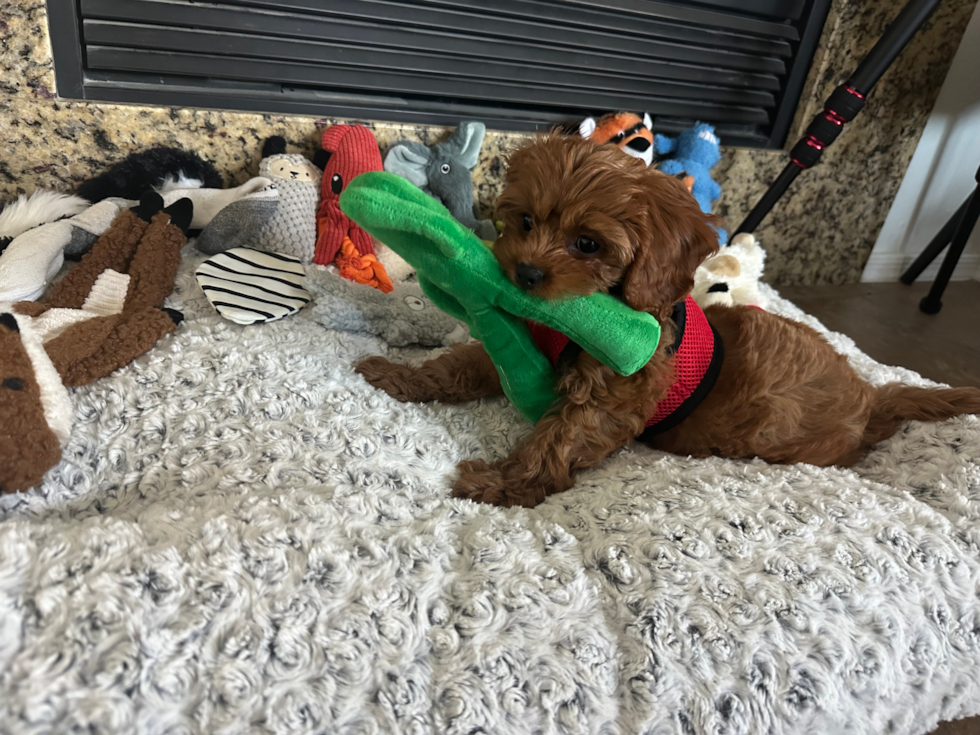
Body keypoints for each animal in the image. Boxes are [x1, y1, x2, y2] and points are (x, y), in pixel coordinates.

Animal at [356, 135, 980, 508]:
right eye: (525, 221)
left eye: (587, 244)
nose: (525, 273)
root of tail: (873, 395)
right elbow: (460, 364)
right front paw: (398, 375)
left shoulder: (614, 393)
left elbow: (558, 436)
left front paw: (504, 482)